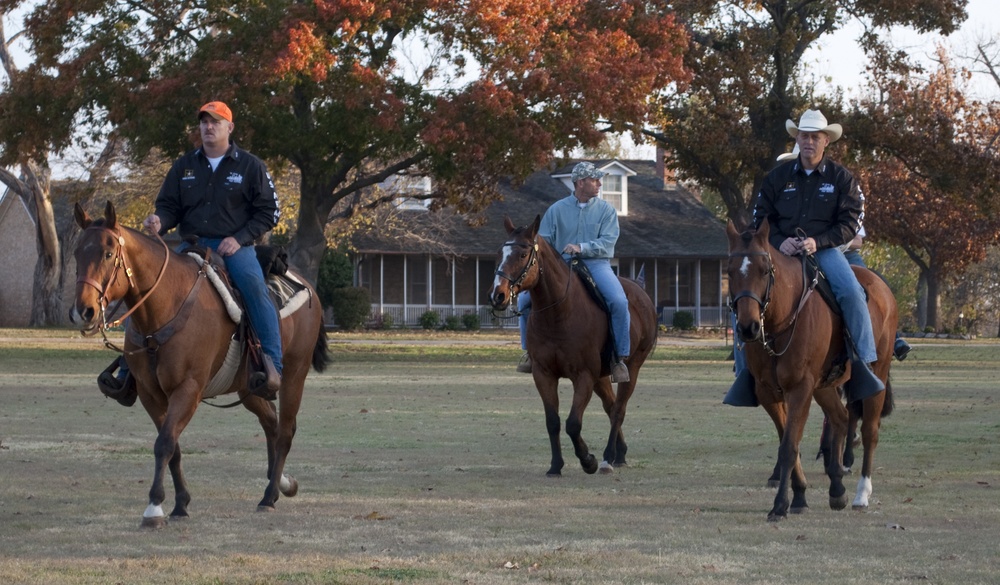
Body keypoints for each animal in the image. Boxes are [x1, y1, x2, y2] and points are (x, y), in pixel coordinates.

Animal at [71, 203, 328, 528]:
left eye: (107, 254)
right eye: (77, 253)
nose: (83, 311)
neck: (166, 307)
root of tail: (307, 287)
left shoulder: (188, 389)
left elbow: (165, 443)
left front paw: (154, 507)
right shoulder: (150, 394)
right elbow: (173, 448)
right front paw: (180, 503)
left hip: (294, 375)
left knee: (284, 431)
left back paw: (269, 497)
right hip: (250, 387)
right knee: (270, 422)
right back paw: (280, 482)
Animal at [488, 214, 660, 474]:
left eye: (522, 254)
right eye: (501, 253)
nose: (498, 295)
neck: (559, 314)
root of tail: (641, 294)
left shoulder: (584, 376)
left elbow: (573, 423)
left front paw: (588, 460)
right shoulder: (544, 374)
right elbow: (553, 421)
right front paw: (555, 466)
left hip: (632, 367)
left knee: (618, 410)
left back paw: (608, 458)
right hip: (601, 376)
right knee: (610, 407)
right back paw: (619, 453)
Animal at [728, 219, 900, 520]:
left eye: (764, 270)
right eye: (729, 270)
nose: (748, 327)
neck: (781, 322)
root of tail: (882, 288)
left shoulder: (799, 389)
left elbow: (789, 446)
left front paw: (780, 505)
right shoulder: (769, 392)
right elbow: (789, 442)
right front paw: (799, 497)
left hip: (875, 374)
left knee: (869, 430)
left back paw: (861, 493)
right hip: (824, 386)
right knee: (841, 418)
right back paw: (837, 489)